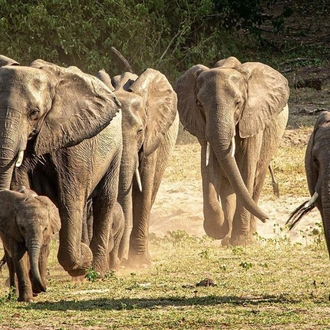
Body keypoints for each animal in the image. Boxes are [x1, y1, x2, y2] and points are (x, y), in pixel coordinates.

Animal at [0, 57, 122, 278]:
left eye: (34, 113)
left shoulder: (76, 140)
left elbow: (70, 199)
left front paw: (83, 257)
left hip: (117, 148)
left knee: (105, 200)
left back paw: (98, 271)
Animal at [175, 56, 288, 246]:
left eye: (238, 103)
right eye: (199, 104)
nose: (267, 218)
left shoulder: (252, 120)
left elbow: (246, 171)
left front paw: (241, 241)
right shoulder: (201, 126)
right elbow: (210, 169)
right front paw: (219, 229)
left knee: (256, 181)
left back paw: (249, 234)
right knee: (228, 186)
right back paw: (227, 238)